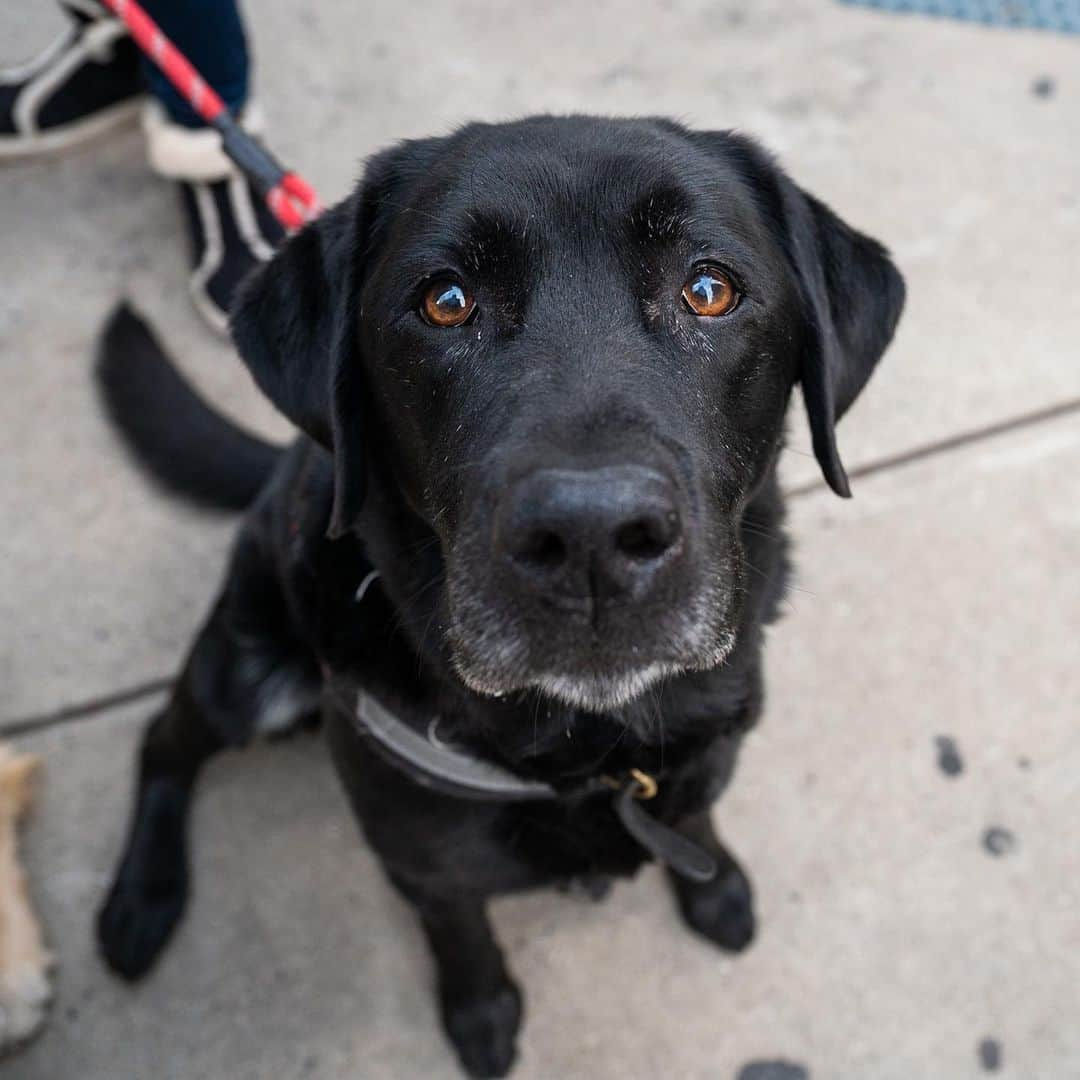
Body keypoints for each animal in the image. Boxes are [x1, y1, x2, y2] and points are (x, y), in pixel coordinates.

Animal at [95, 113, 902, 1075]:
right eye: (446, 301)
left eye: (708, 289)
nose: (591, 537)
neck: (592, 752)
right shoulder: (423, 863)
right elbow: (462, 933)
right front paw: (481, 1014)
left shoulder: (705, 752)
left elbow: (696, 818)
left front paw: (714, 887)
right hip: (247, 670)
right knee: (159, 739)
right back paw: (141, 901)